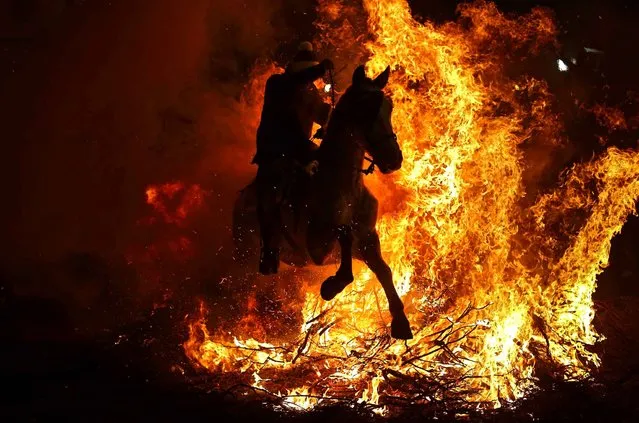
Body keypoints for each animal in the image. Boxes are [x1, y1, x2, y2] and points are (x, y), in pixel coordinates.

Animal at [232, 63, 412, 342]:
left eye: (388, 106)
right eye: (366, 108)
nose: (393, 159)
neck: (345, 185)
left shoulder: (369, 237)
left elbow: (384, 270)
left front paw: (400, 321)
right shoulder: (317, 246)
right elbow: (344, 236)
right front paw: (332, 285)